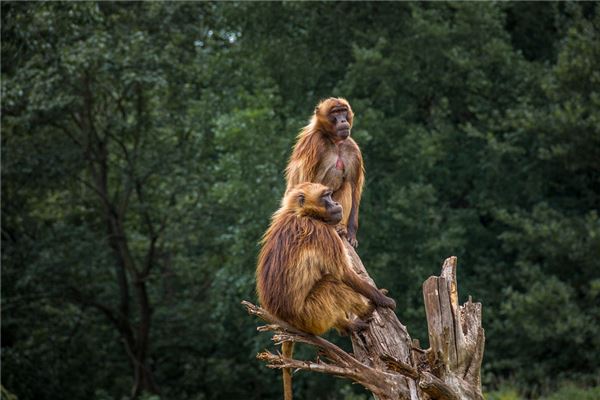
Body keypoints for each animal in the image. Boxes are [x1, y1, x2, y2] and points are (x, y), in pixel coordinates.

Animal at [255, 182, 396, 400]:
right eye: (326, 197)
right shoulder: (322, 232)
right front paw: (381, 300)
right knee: (332, 283)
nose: (337, 204)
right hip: (308, 316)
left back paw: (347, 325)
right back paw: (366, 311)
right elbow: (344, 274)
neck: (303, 214)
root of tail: (282, 319)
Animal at [284, 97, 364, 247]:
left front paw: (351, 234)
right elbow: (303, 184)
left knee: (346, 185)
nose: (343, 121)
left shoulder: (351, 148)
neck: (334, 140)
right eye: (335, 112)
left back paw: (341, 228)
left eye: (343, 111)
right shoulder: (314, 143)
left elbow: (354, 189)